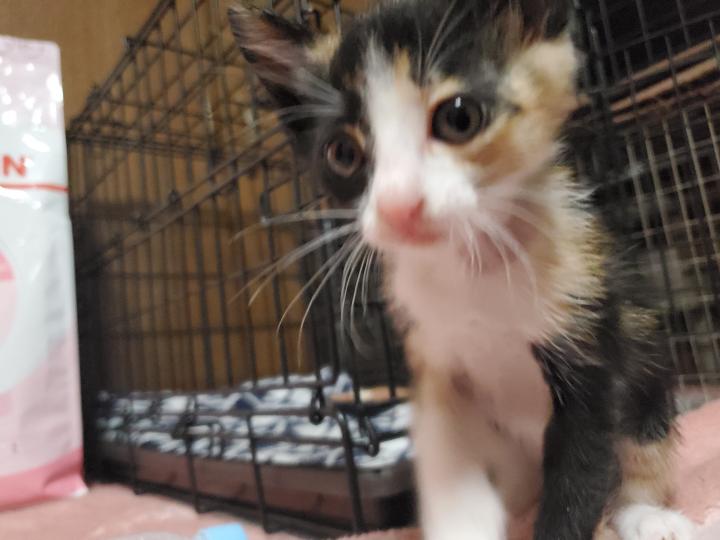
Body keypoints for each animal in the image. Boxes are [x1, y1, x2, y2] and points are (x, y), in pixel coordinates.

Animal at [229, 1, 698, 538]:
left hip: (644, 356)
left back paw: (648, 516)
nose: (398, 207)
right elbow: (447, 464)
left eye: (459, 117)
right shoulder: (434, 362)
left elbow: (582, 473)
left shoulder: (588, 341)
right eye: (342, 153)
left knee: (641, 439)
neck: (475, 265)